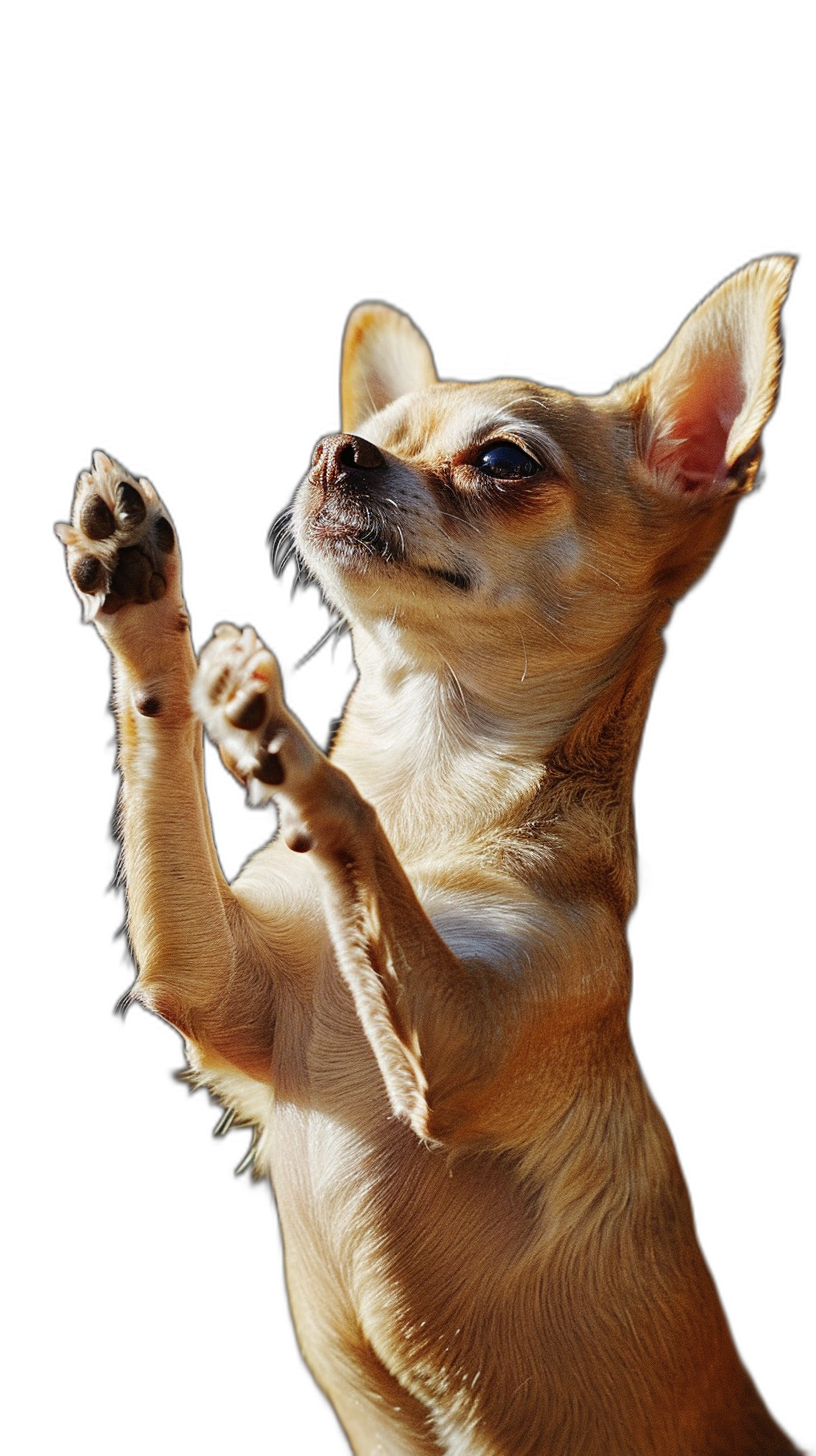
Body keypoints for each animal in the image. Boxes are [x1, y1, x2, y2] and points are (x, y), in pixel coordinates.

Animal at [59, 256, 804, 1450]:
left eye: (502, 461)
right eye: (361, 435)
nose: (337, 451)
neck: (433, 791)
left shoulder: (456, 1054)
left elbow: (353, 819)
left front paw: (291, 744)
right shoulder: (206, 979)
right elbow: (161, 751)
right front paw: (141, 597)